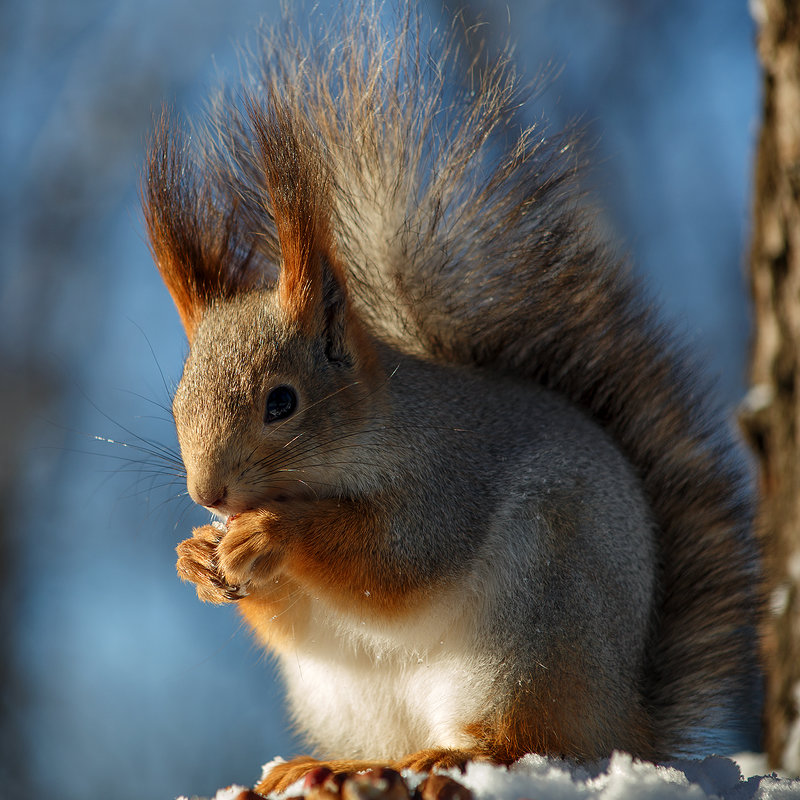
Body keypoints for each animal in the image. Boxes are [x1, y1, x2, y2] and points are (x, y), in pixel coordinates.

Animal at [141, 4, 760, 792]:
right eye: (176, 406)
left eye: (282, 403)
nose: (209, 494)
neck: (367, 434)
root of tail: (624, 723)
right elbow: (291, 614)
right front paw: (196, 556)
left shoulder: (448, 481)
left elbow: (396, 564)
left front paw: (276, 532)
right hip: (346, 692)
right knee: (385, 741)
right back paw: (333, 764)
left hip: (530, 636)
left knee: (526, 738)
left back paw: (453, 754)